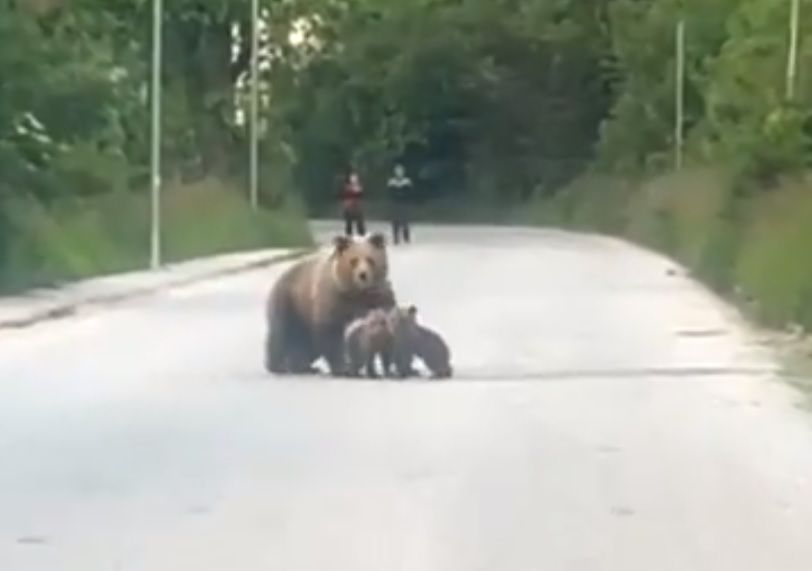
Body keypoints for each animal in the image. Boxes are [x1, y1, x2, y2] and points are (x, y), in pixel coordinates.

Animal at [264, 232, 394, 376]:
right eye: (353, 260)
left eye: (370, 259)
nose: (363, 275)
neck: (356, 293)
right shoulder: (332, 299)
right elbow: (330, 332)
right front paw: (343, 367)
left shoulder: (379, 296)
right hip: (289, 301)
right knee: (280, 333)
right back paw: (278, 366)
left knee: (303, 342)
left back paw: (303, 366)